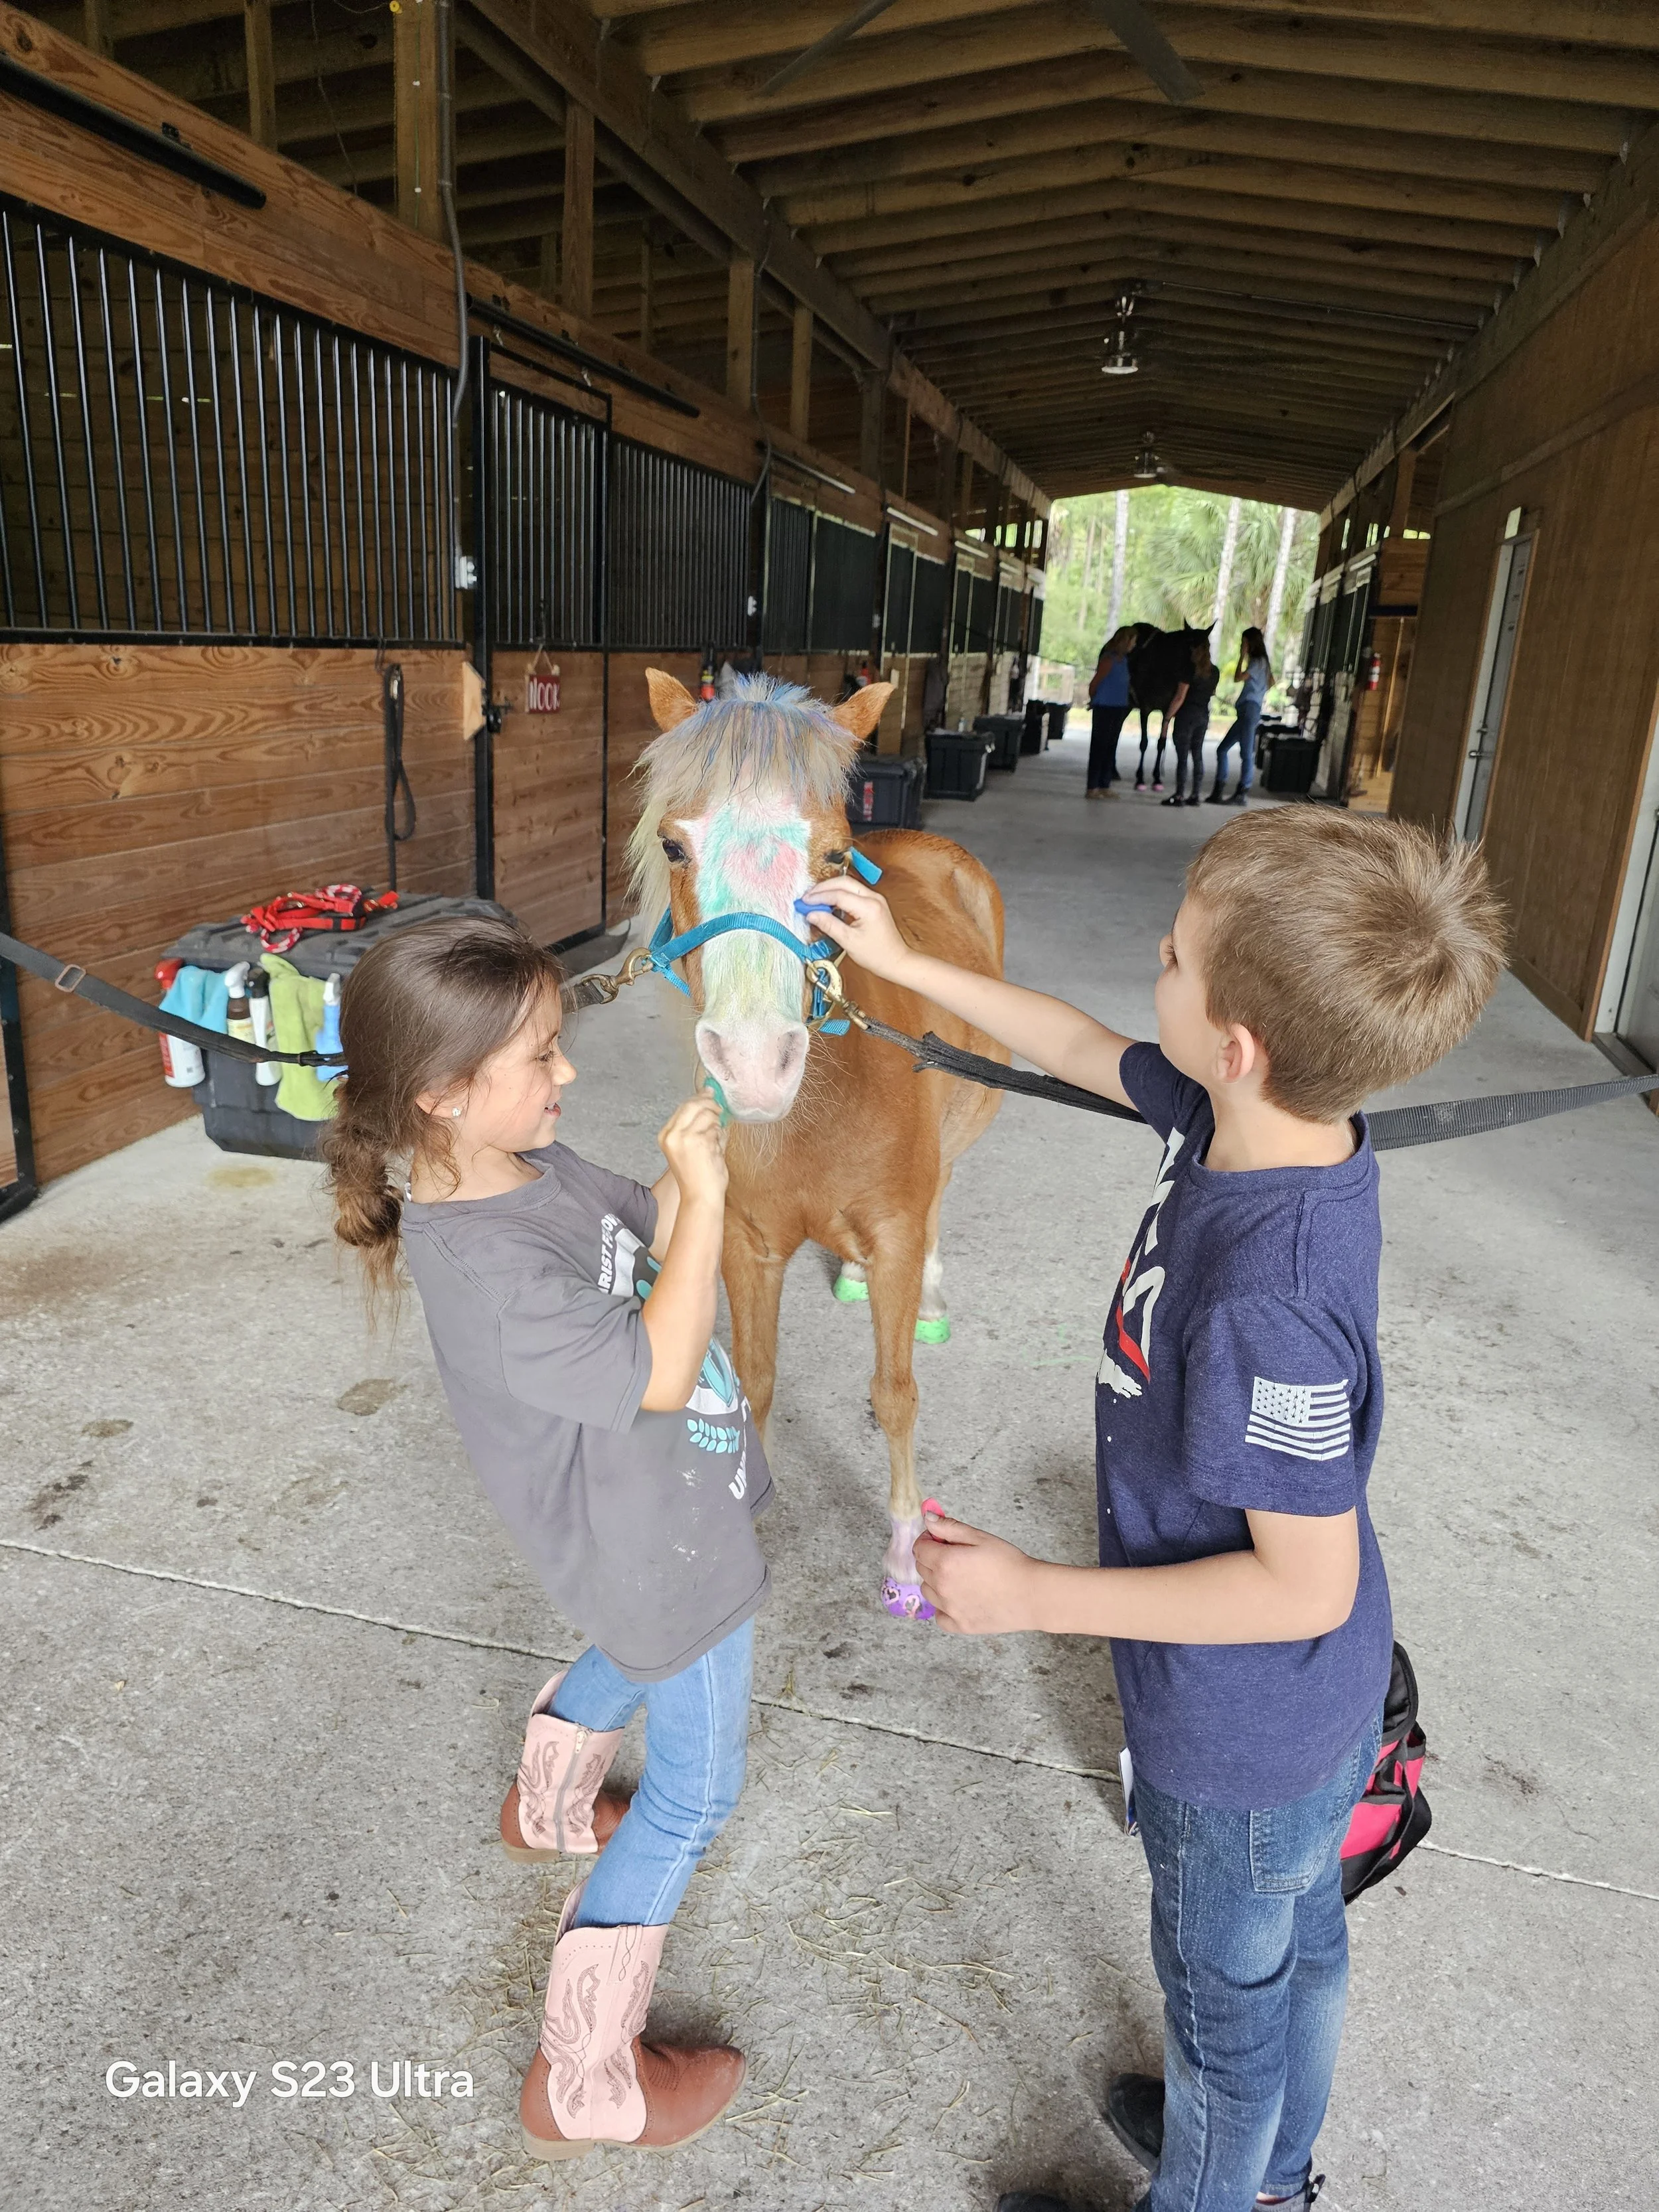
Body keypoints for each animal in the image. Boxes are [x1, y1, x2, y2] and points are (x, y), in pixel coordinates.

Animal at [630, 669, 1008, 1620]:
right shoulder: (746, 1244)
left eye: (836, 857)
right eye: (674, 846)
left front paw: (906, 1555)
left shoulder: (899, 1232)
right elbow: (756, 1377)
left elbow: (896, 1393)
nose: (753, 1064)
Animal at [1127, 621, 1211, 788]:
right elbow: (1144, 742)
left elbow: (1162, 742)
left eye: (1208, 646)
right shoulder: (1145, 709)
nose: (1200, 676)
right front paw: (1140, 778)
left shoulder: (1168, 710)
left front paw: (1157, 777)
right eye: (1189, 644)